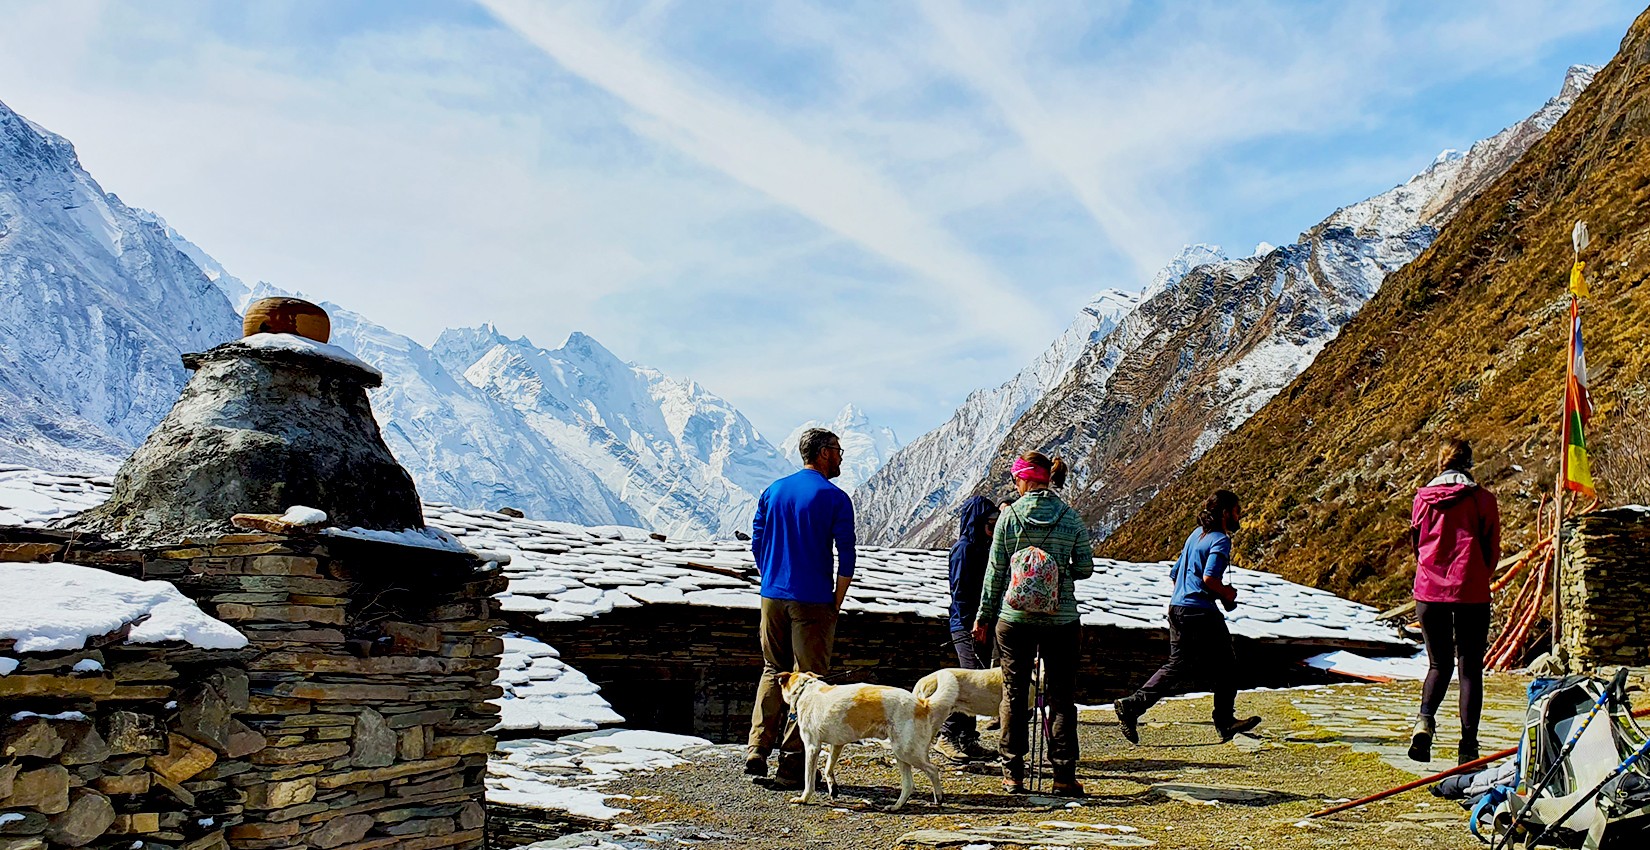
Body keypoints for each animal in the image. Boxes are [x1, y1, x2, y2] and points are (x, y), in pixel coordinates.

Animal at [778, 673, 963, 812]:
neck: (805, 690)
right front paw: (833, 789)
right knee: (909, 785)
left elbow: (808, 780)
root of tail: (923, 704)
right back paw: (895, 807)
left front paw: (803, 799)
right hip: (901, 753)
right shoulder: (837, 745)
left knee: (933, 770)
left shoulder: (812, 748)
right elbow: (828, 768)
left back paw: (938, 798)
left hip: (906, 752)